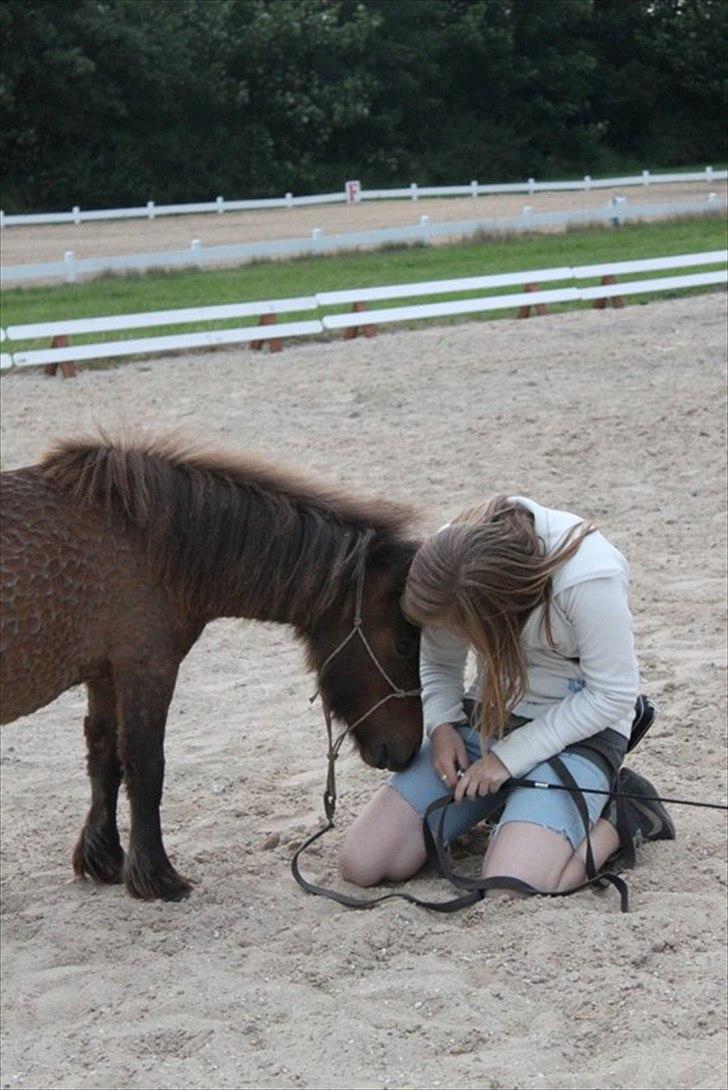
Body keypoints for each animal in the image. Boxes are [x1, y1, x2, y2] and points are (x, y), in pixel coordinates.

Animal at [0, 433, 422, 902]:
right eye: (405, 644)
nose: (408, 751)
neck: (147, 539)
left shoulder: (106, 674)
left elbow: (104, 760)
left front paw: (104, 860)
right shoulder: (148, 668)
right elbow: (146, 767)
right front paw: (157, 877)